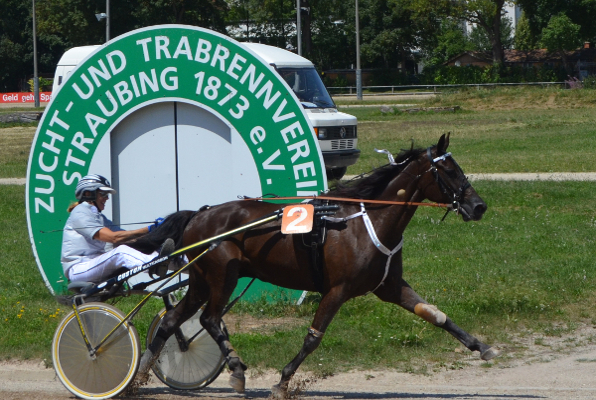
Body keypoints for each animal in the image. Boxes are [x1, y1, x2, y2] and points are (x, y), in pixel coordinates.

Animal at [129, 133, 498, 396]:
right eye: (448, 171)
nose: (479, 206)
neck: (368, 222)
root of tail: (200, 213)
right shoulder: (338, 289)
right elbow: (313, 338)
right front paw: (282, 382)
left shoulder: (390, 286)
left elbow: (436, 315)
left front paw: (482, 347)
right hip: (223, 275)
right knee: (209, 318)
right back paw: (235, 369)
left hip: (201, 280)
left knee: (173, 319)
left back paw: (141, 373)